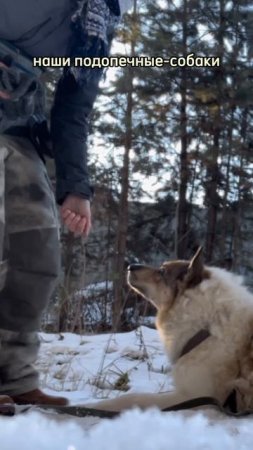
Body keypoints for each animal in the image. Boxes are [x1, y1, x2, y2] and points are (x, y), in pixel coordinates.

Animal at [85, 248, 253, 414]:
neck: (207, 327)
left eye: (162, 271)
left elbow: (133, 398)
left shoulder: (195, 397)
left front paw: (94, 406)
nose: (130, 266)